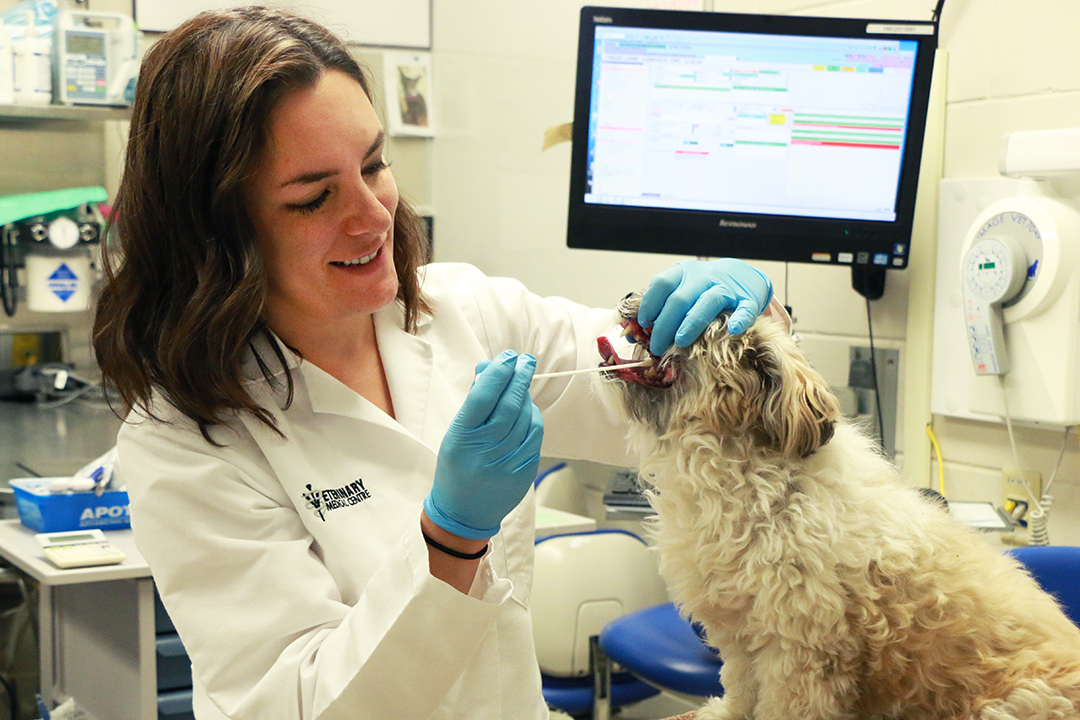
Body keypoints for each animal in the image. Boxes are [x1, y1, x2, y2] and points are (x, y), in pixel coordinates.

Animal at [596, 293, 1080, 720]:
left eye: (707, 320)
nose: (631, 296)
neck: (747, 481)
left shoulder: (798, 650)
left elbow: (784, 706)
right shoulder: (740, 635)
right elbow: (740, 687)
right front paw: (727, 713)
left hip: (1016, 702)